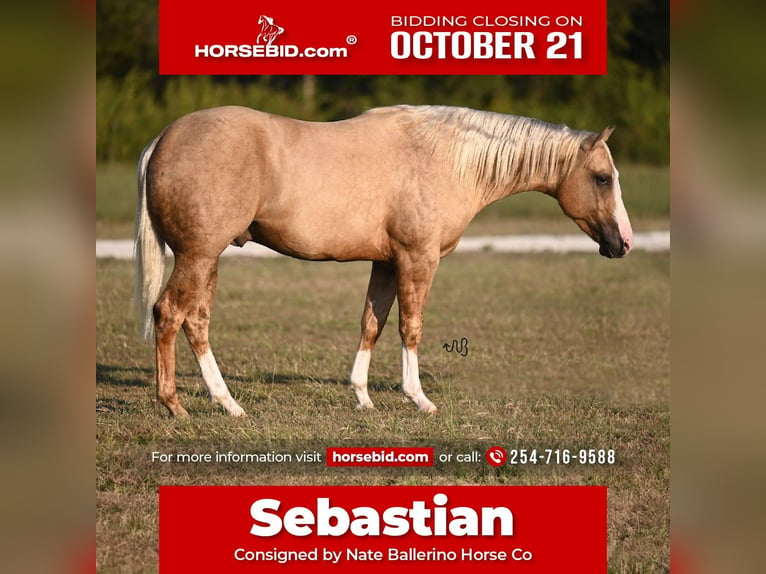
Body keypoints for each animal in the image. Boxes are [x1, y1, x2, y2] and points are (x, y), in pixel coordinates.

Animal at [135, 104, 632, 418]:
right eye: (602, 178)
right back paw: (175, 405)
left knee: (196, 322)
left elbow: (371, 323)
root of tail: (162, 139)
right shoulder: (418, 259)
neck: (444, 157)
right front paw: (418, 398)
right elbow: (410, 327)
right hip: (198, 257)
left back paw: (229, 404)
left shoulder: (387, 263)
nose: (623, 243)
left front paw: (362, 397)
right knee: (169, 314)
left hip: (207, 259)